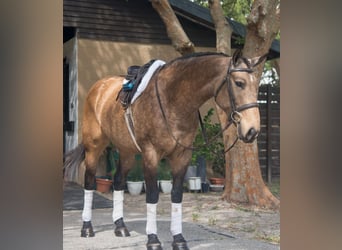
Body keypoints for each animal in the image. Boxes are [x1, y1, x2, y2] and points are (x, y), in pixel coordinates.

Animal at [64, 50, 266, 250]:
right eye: (239, 83)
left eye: (256, 86)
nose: (252, 130)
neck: (173, 99)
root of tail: (98, 87)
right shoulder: (151, 154)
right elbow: (153, 195)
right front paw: (153, 240)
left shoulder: (182, 156)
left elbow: (176, 195)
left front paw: (178, 239)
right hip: (94, 147)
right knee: (89, 182)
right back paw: (87, 228)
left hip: (127, 152)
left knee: (119, 181)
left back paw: (120, 226)